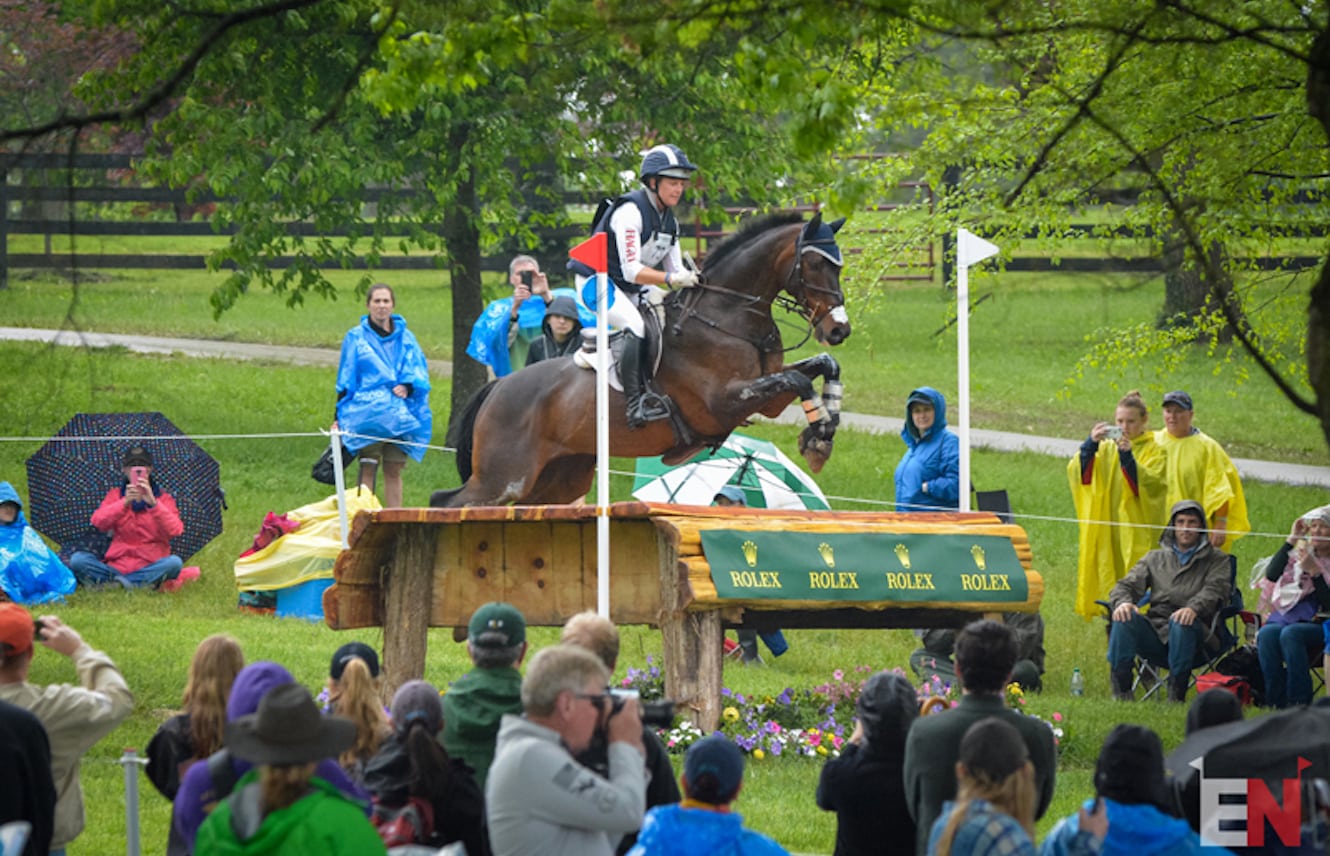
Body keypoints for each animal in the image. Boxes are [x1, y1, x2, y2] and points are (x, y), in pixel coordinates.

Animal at [433, 210, 851, 505]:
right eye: (816, 264)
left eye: (839, 264)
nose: (839, 331)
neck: (727, 315)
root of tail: (498, 387)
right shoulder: (724, 401)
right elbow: (798, 379)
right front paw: (819, 440)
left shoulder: (767, 399)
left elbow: (821, 367)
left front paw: (823, 429)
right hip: (502, 478)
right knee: (448, 501)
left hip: (557, 479)